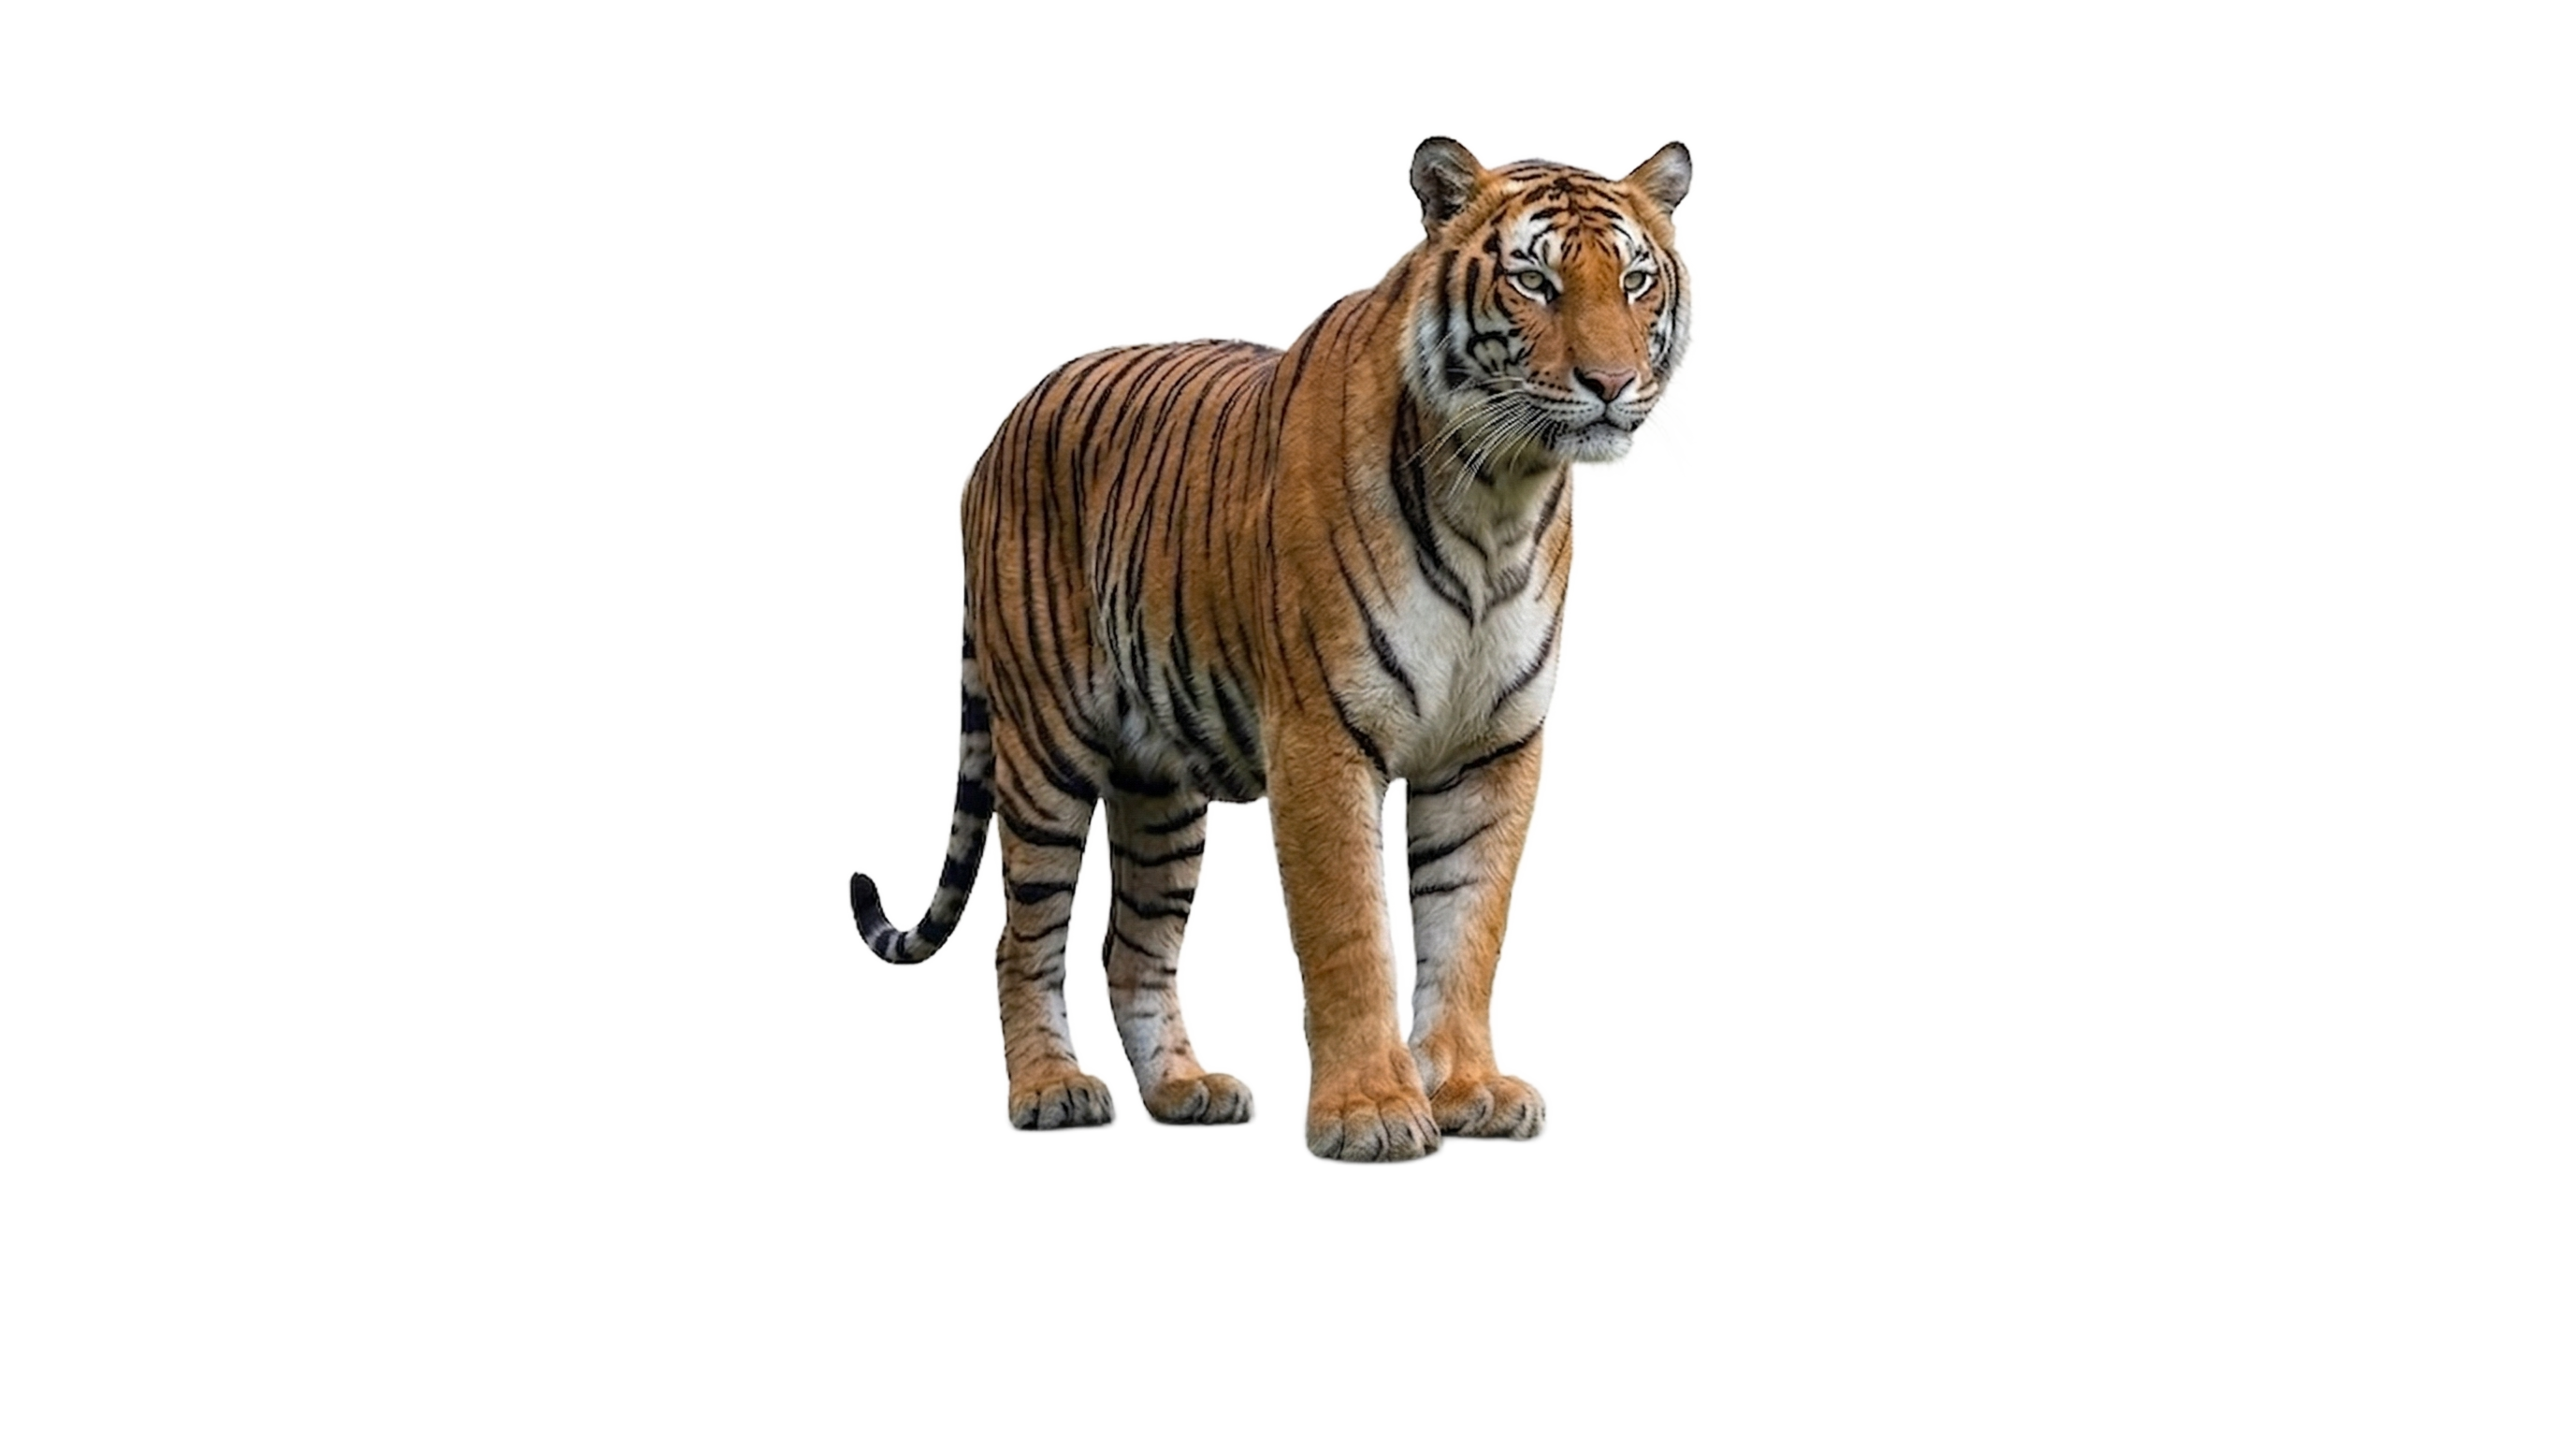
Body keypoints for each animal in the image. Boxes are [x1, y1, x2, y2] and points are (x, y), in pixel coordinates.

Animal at [849, 136, 1693, 1162]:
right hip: (1044, 751)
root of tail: (1001, 428)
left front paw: (1470, 1089)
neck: (1500, 494)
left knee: (1132, 946)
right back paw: (1052, 1090)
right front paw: (1372, 1110)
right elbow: (1351, 934)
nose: (1612, 386)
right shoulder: (1323, 738)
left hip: (1160, 788)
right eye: (1536, 281)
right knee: (1023, 936)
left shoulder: (1492, 749)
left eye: (1637, 280)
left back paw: (1185, 1089)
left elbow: (1468, 927)